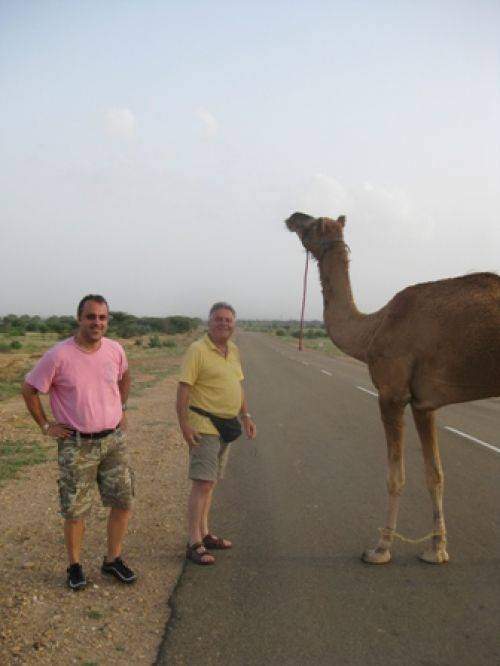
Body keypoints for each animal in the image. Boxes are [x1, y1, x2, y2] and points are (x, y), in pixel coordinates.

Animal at [286, 211, 500, 560]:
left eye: (313, 223)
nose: (293, 217)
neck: (371, 328)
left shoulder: (391, 394)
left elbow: (395, 476)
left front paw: (381, 548)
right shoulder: (424, 403)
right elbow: (435, 474)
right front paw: (437, 550)